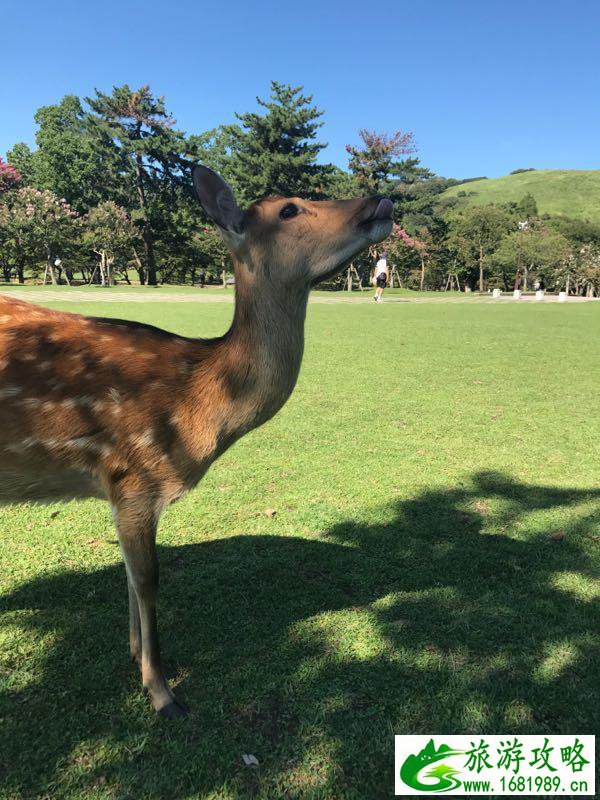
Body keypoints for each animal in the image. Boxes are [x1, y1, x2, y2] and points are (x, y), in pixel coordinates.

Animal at [1, 169, 394, 720]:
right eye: (289, 209)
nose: (382, 199)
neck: (196, 405)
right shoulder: (134, 474)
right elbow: (147, 579)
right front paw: (162, 691)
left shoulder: (121, 491)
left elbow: (128, 574)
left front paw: (135, 655)